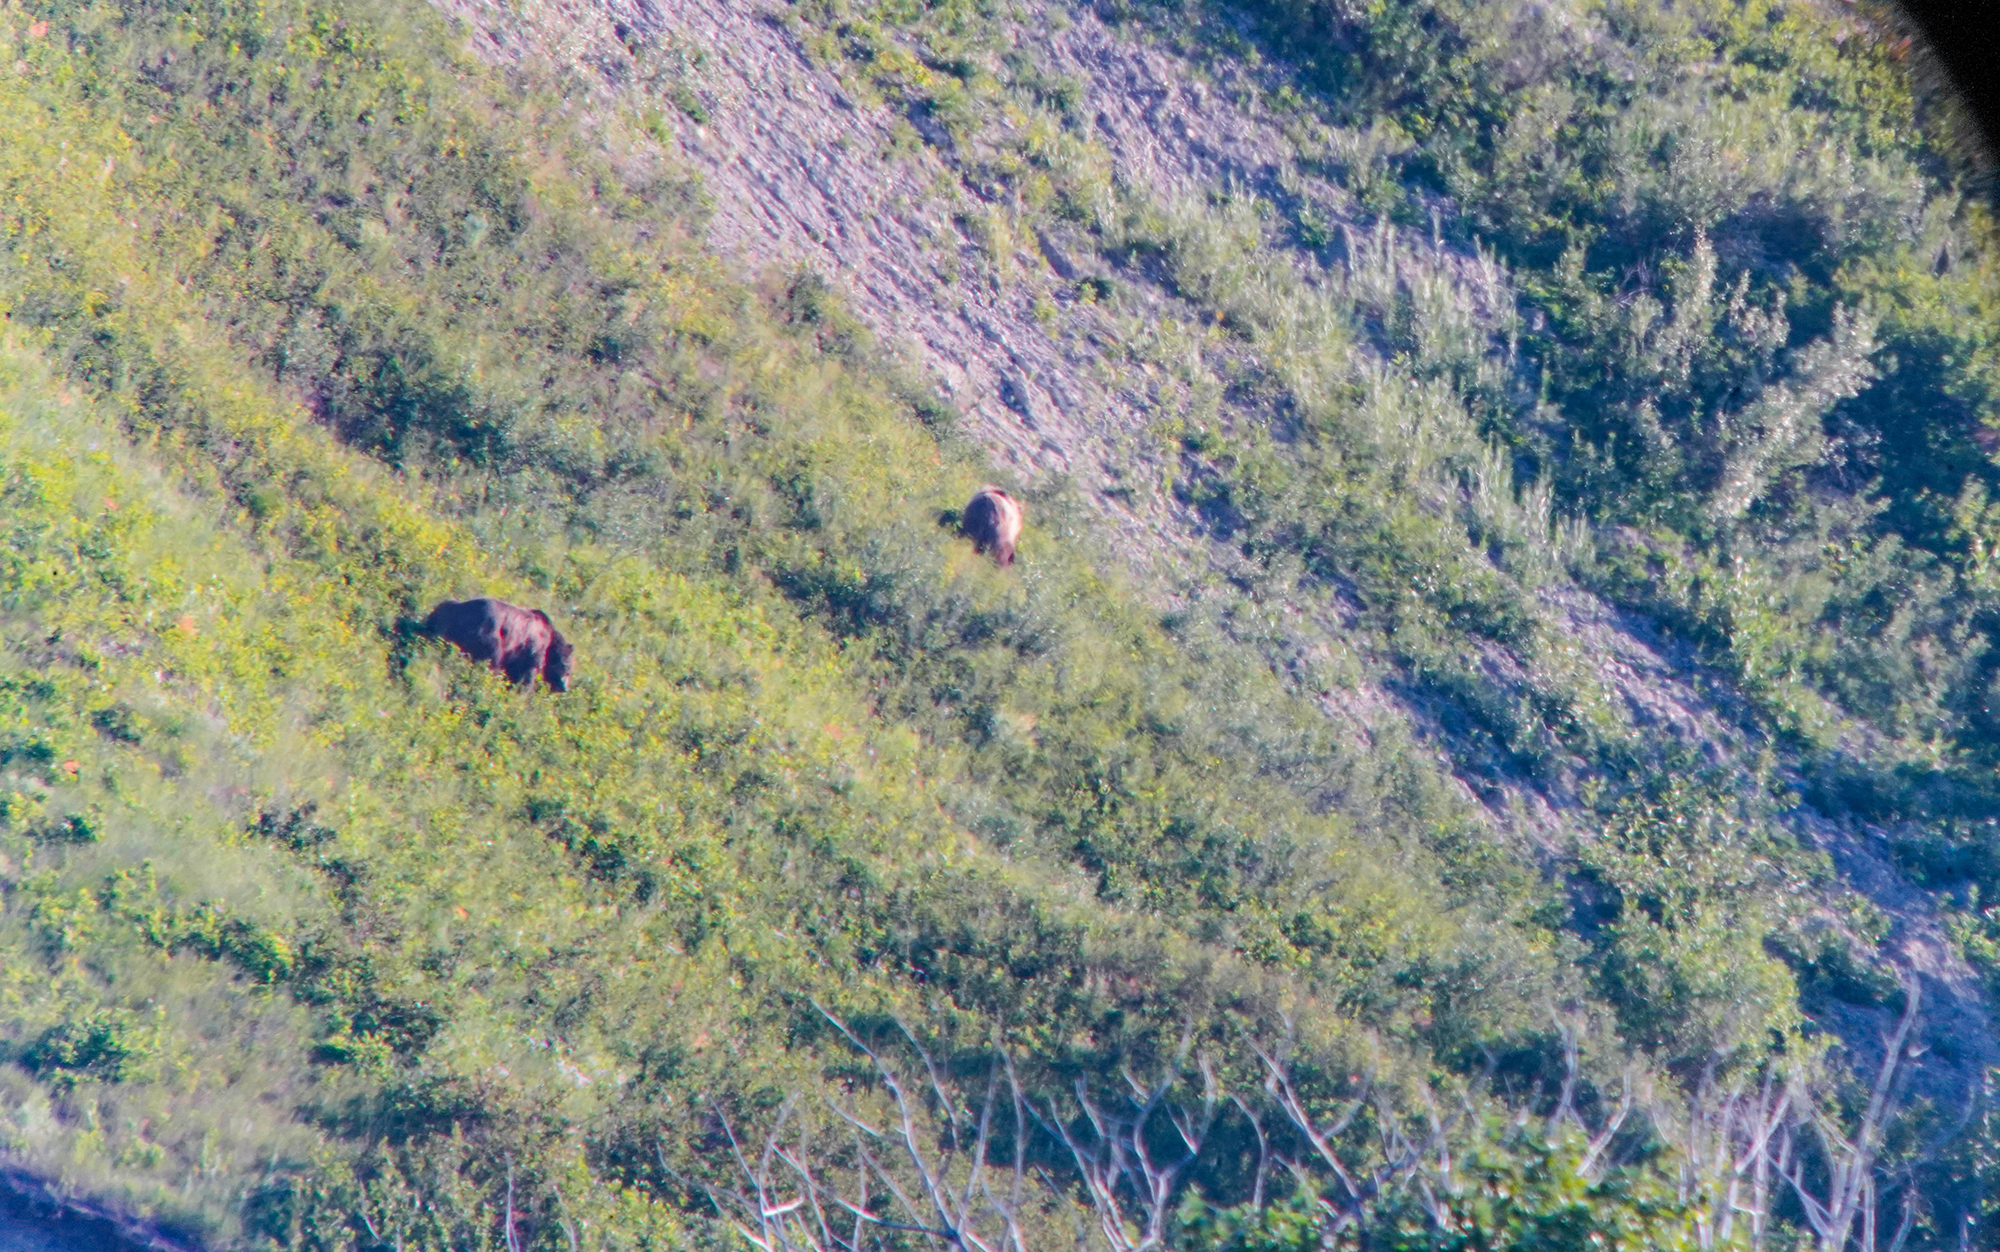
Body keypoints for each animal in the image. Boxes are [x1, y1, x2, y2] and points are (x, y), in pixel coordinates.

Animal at [424, 596, 576, 692]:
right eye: (567, 669)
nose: (564, 688)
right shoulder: (532, 649)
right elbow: (525, 674)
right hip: (489, 635)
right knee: (492, 660)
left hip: (445, 616)